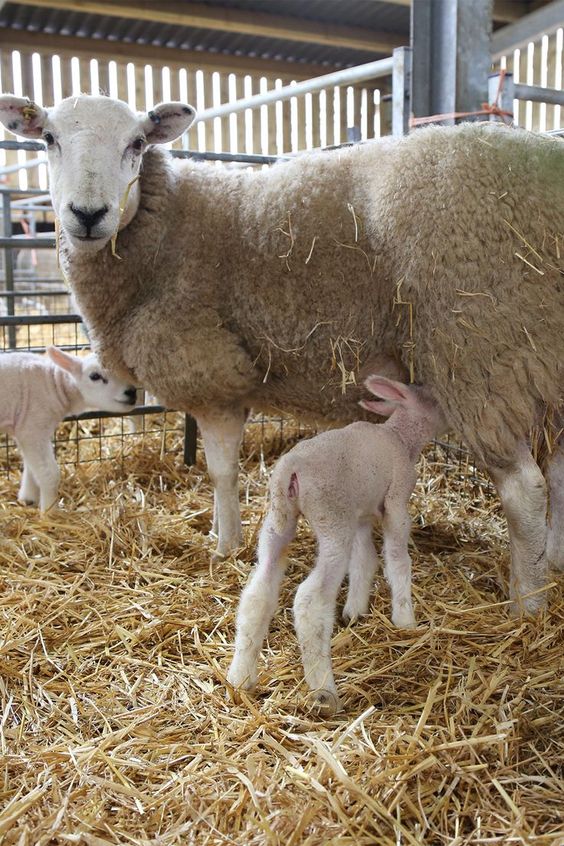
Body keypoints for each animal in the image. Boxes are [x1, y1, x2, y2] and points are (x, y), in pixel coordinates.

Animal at [0, 348, 137, 512]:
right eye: (95, 376)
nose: (132, 392)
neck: (54, 383)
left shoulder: (27, 429)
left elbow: (31, 468)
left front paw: (28, 498)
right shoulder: (33, 427)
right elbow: (49, 474)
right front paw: (50, 510)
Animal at [227, 378, 442, 716]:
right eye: (433, 399)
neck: (400, 435)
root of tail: (292, 468)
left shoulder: (361, 515)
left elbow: (365, 560)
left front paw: (355, 610)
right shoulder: (396, 500)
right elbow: (396, 558)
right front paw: (405, 619)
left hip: (279, 517)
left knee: (258, 590)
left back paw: (241, 677)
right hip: (332, 518)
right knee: (310, 600)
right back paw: (324, 692)